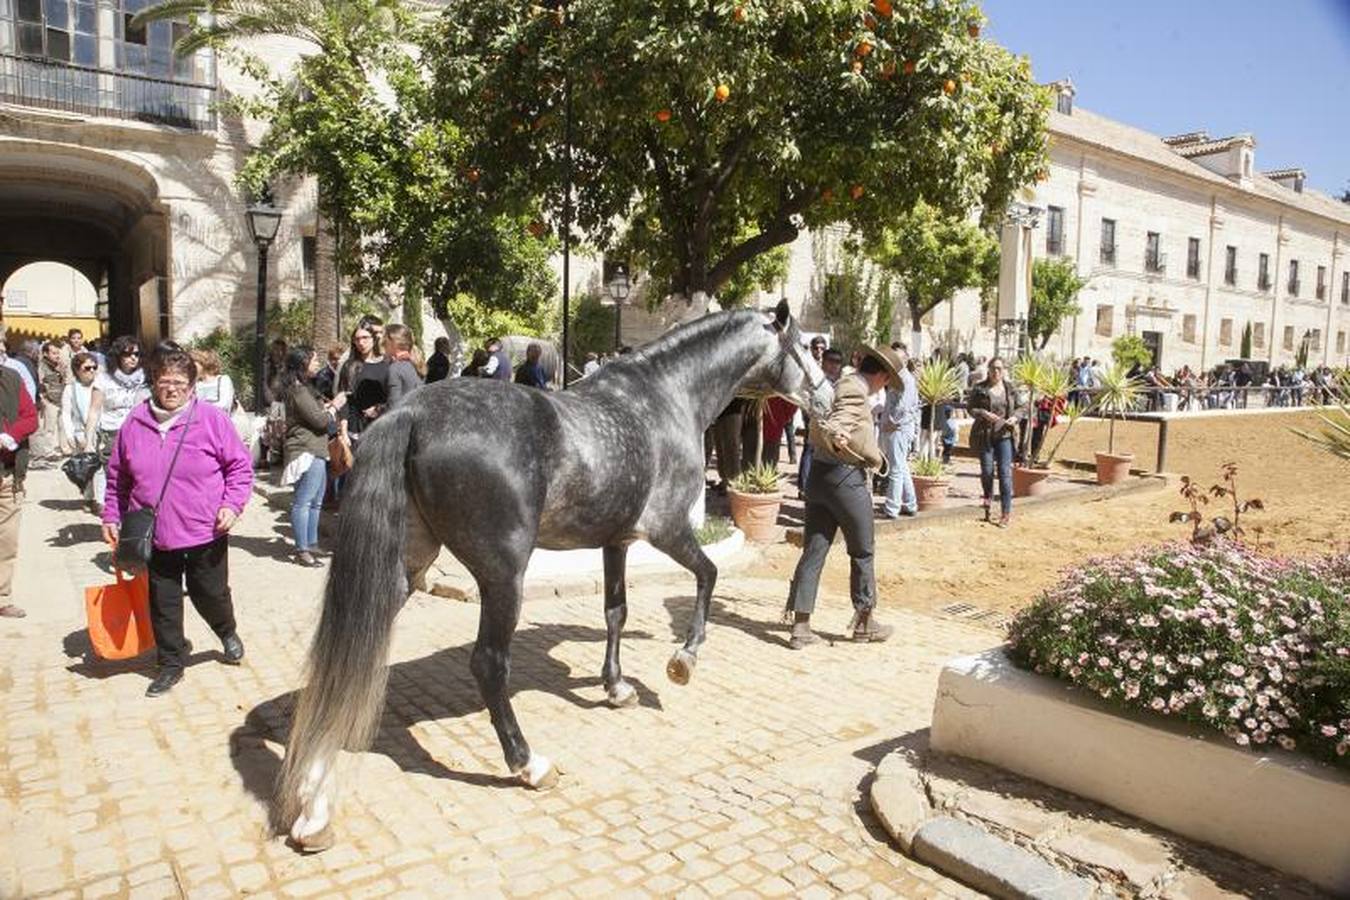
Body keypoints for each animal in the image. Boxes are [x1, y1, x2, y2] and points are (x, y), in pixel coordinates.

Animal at [278, 299, 815, 847]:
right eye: (802, 346)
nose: (826, 395)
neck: (665, 399)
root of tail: (411, 413)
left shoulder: (616, 541)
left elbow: (615, 611)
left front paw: (617, 687)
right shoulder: (667, 529)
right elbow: (708, 575)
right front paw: (682, 660)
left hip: (403, 563)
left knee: (349, 654)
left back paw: (313, 806)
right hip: (503, 575)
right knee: (488, 663)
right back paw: (528, 764)